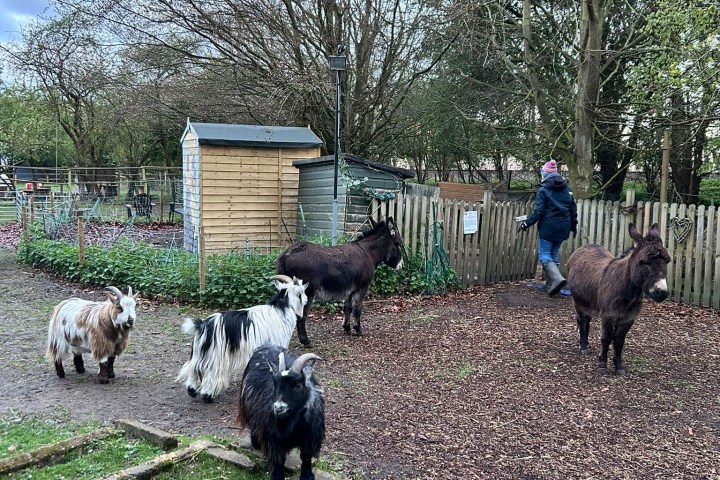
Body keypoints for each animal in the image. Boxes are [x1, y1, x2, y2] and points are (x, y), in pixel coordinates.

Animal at [176, 275, 309, 403]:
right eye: (301, 292)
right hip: (215, 356)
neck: (281, 309)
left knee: (193, 369)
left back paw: (192, 391)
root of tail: (203, 325)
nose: (307, 300)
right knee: (210, 374)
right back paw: (207, 396)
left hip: (199, 352)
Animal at [238, 344, 324, 480]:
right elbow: (279, 458)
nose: (278, 408)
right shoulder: (274, 437)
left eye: (298, 385)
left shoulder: (311, 436)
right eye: (275, 383)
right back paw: (256, 443)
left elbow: (306, 456)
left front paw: (307, 476)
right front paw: (277, 476)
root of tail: (267, 345)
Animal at [276, 216, 403, 345]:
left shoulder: (349, 290)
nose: (401, 266)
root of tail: (286, 255)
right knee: (300, 316)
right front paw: (358, 330)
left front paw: (347, 329)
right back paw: (305, 341)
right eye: (398, 244)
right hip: (306, 292)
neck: (368, 252)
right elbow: (357, 308)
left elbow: (347, 308)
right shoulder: (362, 287)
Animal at [567, 223, 671, 375]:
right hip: (578, 302)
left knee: (587, 321)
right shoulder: (608, 315)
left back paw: (586, 343)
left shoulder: (628, 318)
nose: (661, 293)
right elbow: (606, 338)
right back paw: (583, 347)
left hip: (589, 303)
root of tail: (586, 246)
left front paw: (618, 366)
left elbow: (619, 341)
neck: (629, 291)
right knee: (581, 321)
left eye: (667, 261)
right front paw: (602, 365)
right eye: (645, 262)